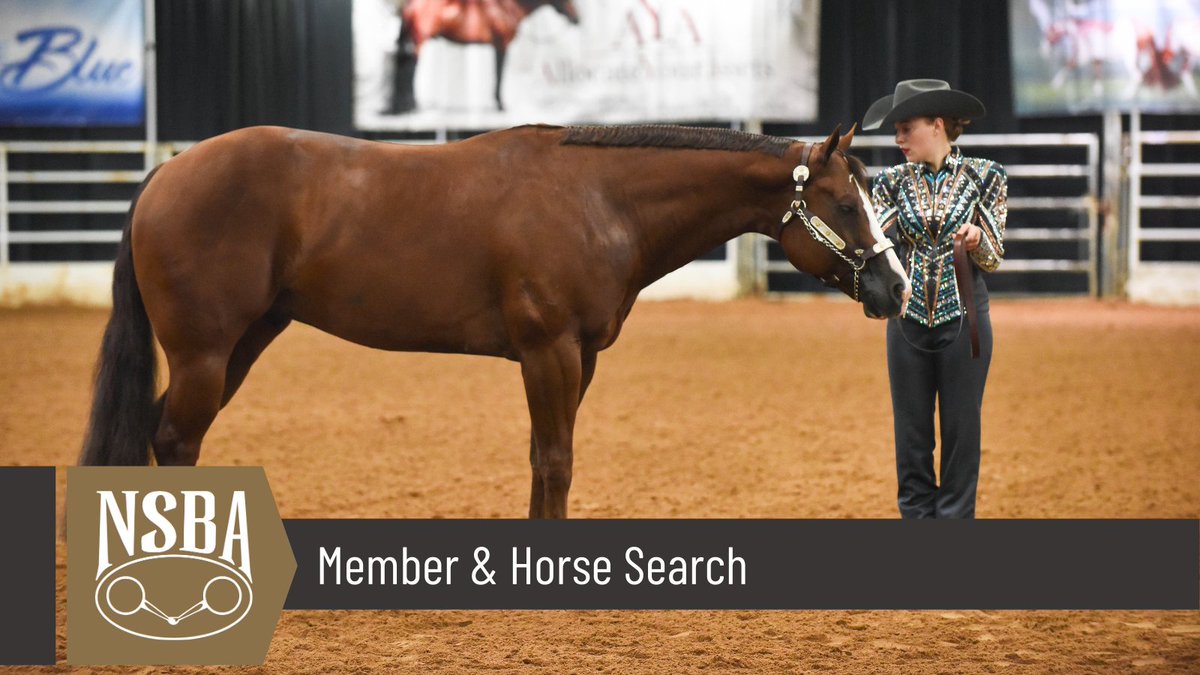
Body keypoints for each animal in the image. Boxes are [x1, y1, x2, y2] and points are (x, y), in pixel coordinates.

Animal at [78, 123, 911, 519]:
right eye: (846, 204)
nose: (895, 286)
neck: (599, 198)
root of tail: (168, 170)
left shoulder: (579, 358)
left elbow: (546, 456)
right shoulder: (550, 352)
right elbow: (557, 459)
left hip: (242, 343)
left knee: (159, 432)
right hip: (206, 351)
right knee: (174, 438)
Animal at [388, 0, 580, 113]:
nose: (577, 19)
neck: (506, 7)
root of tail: (410, 6)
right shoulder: (502, 44)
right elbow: (499, 74)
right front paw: (501, 104)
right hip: (419, 40)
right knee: (410, 68)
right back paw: (411, 105)